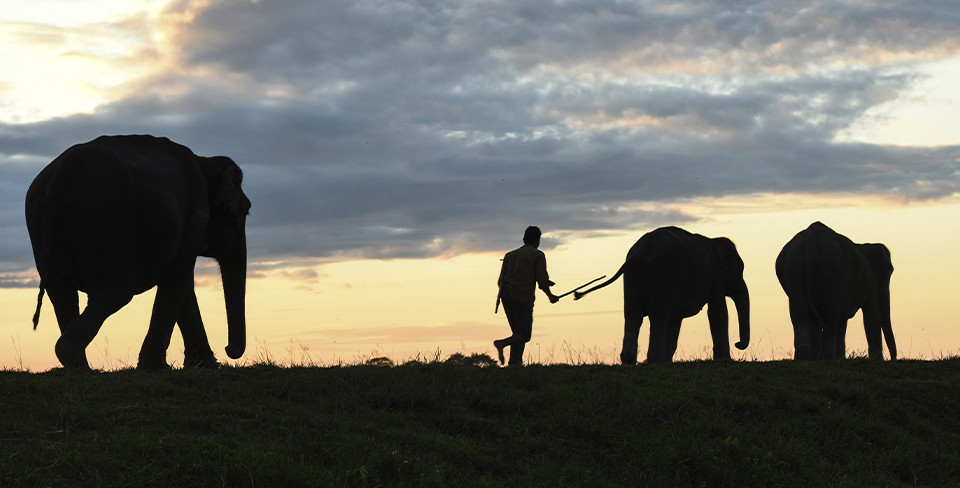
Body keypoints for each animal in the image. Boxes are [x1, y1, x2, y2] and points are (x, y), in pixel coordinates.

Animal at [26, 133, 253, 370]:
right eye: (244, 211)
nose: (229, 349)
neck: (204, 162)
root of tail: (58, 178)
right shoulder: (195, 217)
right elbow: (179, 277)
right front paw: (157, 368)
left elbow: (179, 282)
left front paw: (203, 365)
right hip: (106, 218)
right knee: (115, 292)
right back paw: (74, 357)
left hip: (41, 223)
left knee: (61, 293)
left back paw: (78, 365)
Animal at [572, 227, 748, 364]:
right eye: (740, 270)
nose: (738, 344)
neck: (713, 241)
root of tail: (640, 254)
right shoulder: (715, 275)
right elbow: (717, 311)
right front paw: (725, 360)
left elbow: (676, 320)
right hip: (665, 276)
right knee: (658, 316)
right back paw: (656, 361)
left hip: (633, 280)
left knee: (633, 315)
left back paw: (630, 360)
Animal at [776, 223, 896, 360]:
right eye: (889, 273)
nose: (892, 359)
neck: (867, 246)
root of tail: (810, 246)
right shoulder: (871, 282)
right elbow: (872, 316)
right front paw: (877, 360)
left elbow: (843, 319)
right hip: (832, 273)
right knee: (830, 316)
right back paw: (826, 357)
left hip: (794, 268)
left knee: (799, 312)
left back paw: (806, 356)